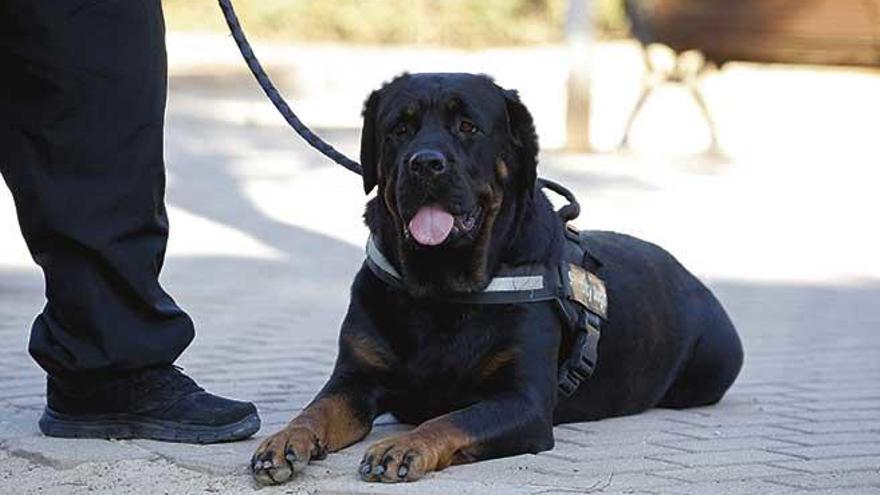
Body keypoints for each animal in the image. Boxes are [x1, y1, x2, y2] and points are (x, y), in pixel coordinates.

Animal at [249, 72, 744, 484]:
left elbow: (451, 419)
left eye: (468, 127)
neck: (440, 289)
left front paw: (404, 446)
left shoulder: (523, 401)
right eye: (399, 128)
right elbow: (318, 409)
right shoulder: (356, 378)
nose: (425, 163)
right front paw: (285, 439)